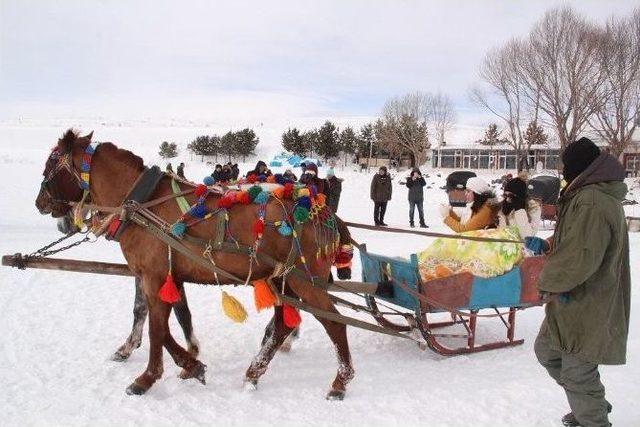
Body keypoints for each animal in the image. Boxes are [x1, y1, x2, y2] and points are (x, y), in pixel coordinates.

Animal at [35, 130, 356, 402]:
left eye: (51, 163)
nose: (40, 202)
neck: (142, 205)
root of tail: (327, 213)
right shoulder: (163, 275)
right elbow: (167, 320)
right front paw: (191, 363)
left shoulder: (154, 276)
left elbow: (157, 328)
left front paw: (147, 378)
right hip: (282, 280)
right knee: (282, 325)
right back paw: (254, 373)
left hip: (306, 281)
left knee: (334, 323)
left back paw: (340, 382)